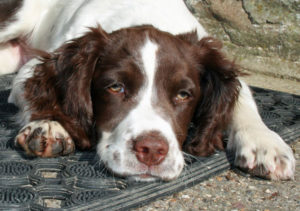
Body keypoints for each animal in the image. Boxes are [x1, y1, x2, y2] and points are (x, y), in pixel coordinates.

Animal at [0, 0, 296, 181]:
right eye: (115, 87)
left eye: (183, 94)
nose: (152, 151)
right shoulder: (35, 65)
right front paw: (50, 125)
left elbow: (242, 98)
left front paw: (265, 143)